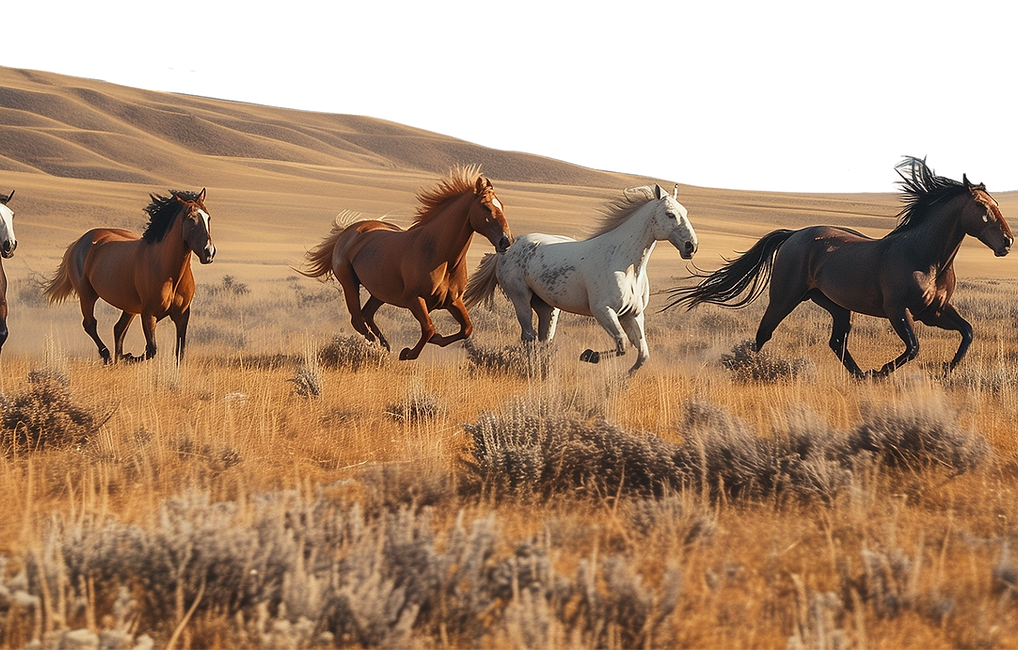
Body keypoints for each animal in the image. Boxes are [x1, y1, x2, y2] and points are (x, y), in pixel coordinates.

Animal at [43, 188, 215, 364]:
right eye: (191, 219)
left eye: (208, 217)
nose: (209, 252)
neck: (169, 272)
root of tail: (78, 242)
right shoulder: (148, 314)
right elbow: (151, 349)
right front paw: (129, 356)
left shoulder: (182, 315)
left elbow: (179, 352)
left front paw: (127, 356)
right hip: (87, 295)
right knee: (90, 324)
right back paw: (108, 356)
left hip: (129, 307)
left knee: (118, 329)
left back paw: (117, 357)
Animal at [300, 165, 513, 361]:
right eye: (485, 207)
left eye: (502, 206)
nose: (506, 241)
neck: (438, 254)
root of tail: (350, 231)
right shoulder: (414, 299)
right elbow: (429, 328)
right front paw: (407, 353)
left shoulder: (453, 300)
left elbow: (466, 329)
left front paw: (433, 340)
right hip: (350, 284)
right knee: (357, 319)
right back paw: (377, 345)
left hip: (380, 292)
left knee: (366, 315)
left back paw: (384, 345)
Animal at [463, 183, 698, 375]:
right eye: (670, 214)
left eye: (686, 212)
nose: (691, 246)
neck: (625, 264)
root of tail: (508, 246)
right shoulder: (603, 311)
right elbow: (622, 344)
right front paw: (588, 355)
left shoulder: (633, 315)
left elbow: (642, 355)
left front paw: (623, 379)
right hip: (520, 298)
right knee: (528, 337)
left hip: (547, 307)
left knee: (544, 339)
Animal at [664, 160, 1013, 378]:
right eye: (980, 207)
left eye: (996, 205)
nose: (1007, 242)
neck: (925, 258)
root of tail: (794, 235)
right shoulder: (899, 310)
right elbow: (913, 347)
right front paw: (881, 371)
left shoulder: (934, 311)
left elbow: (967, 332)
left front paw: (945, 370)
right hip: (785, 297)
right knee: (764, 333)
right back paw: (749, 368)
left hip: (837, 306)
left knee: (836, 342)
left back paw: (859, 375)